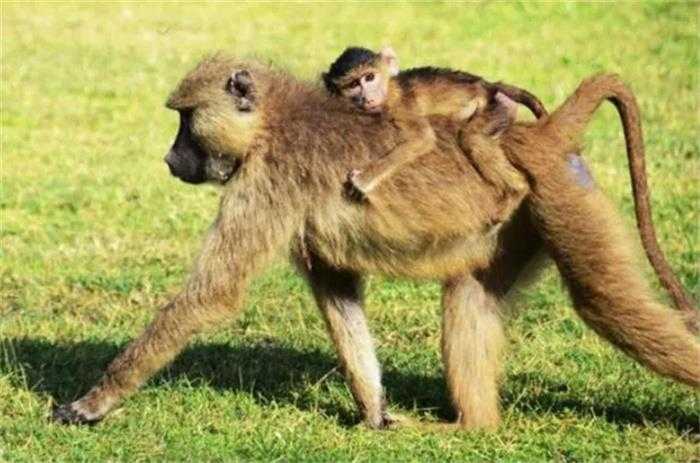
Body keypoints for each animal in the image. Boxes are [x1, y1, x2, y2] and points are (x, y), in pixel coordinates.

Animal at [322, 46, 547, 204]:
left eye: (369, 77)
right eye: (353, 85)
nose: (367, 98)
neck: (389, 91)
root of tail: (488, 86)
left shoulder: (402, 108)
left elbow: (423, 137)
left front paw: (364, 179)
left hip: (494, 107)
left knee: (471, 138)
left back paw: (517, 190)